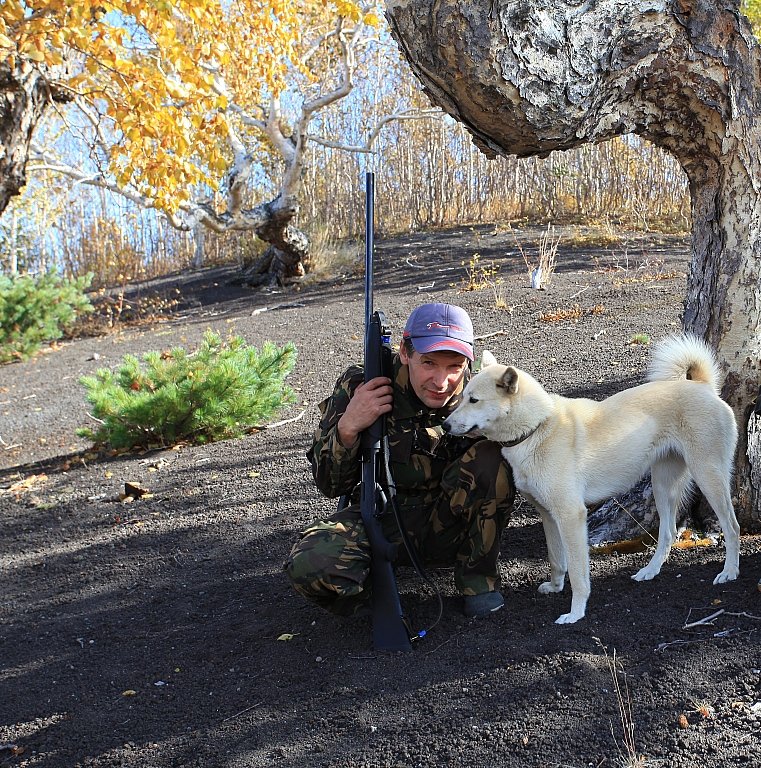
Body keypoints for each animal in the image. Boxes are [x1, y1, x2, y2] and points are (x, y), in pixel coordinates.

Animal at [442, 336, 740, 624]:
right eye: (463, 397)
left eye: (473, 400)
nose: (444, 425)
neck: (537, 427)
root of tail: (702, 386)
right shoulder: (548, 515)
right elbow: (556, 560)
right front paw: (555, 587)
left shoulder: (571, 516)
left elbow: (577, 572)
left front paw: (575, 613)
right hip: (662, 485)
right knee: (667, 534)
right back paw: (650, 571)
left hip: (708, 478)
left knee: (732, 527)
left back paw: (730, 571)